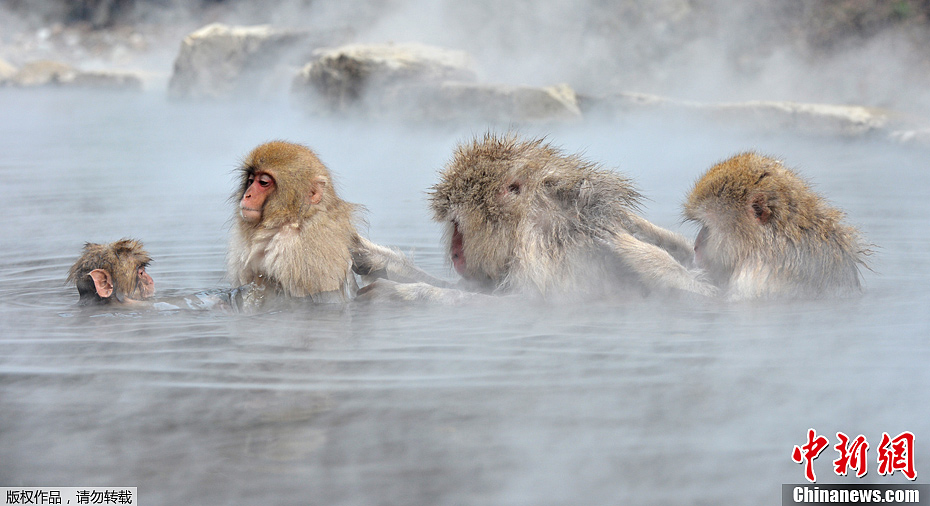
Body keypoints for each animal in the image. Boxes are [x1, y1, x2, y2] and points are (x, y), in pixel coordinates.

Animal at [354, 132, 712, 302]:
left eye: (458, 224)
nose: (456, 253)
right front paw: (378, 260)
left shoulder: (543, 243)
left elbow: (527, 303)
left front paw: (404, 294)